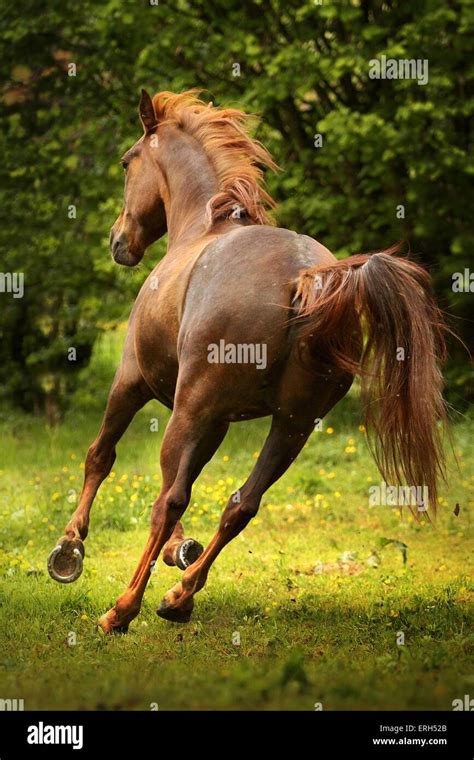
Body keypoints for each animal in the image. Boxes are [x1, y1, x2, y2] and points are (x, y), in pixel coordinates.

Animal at [48, 90, 448, 636]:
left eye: (127, 162)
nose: (118, 242)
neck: (203, 225)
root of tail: (305, 279)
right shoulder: (218, 419)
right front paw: (181, 554)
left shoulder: (135, 383)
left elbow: (102, 456)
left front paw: (69, 549)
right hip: (291, 426)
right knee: (241, 504)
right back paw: (179, 596)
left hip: (193, 411)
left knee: (168, 499)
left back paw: (122, 610)